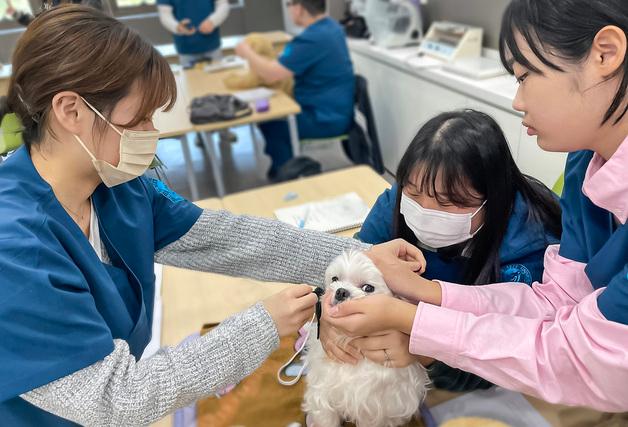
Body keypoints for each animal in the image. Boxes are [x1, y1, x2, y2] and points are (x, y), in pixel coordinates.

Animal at [302, 251, 430, 427]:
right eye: (335, 279)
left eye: (368, 288)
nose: (341, 291)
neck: (350, 340)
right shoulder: (323, 390)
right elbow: (325, 415)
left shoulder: (371, 408)